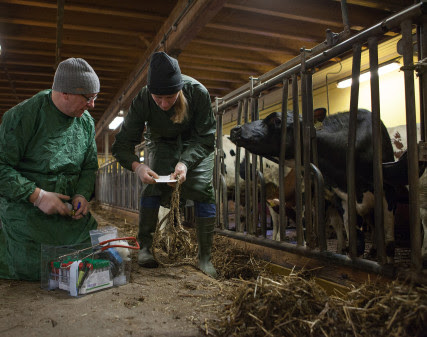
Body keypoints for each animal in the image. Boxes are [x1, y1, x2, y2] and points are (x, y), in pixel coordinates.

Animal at [231, 108, 402, 260]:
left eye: (277, 120)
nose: (235, 129)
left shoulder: (389, 192)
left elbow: (389, 244)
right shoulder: (341, 198)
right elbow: (357, 243)